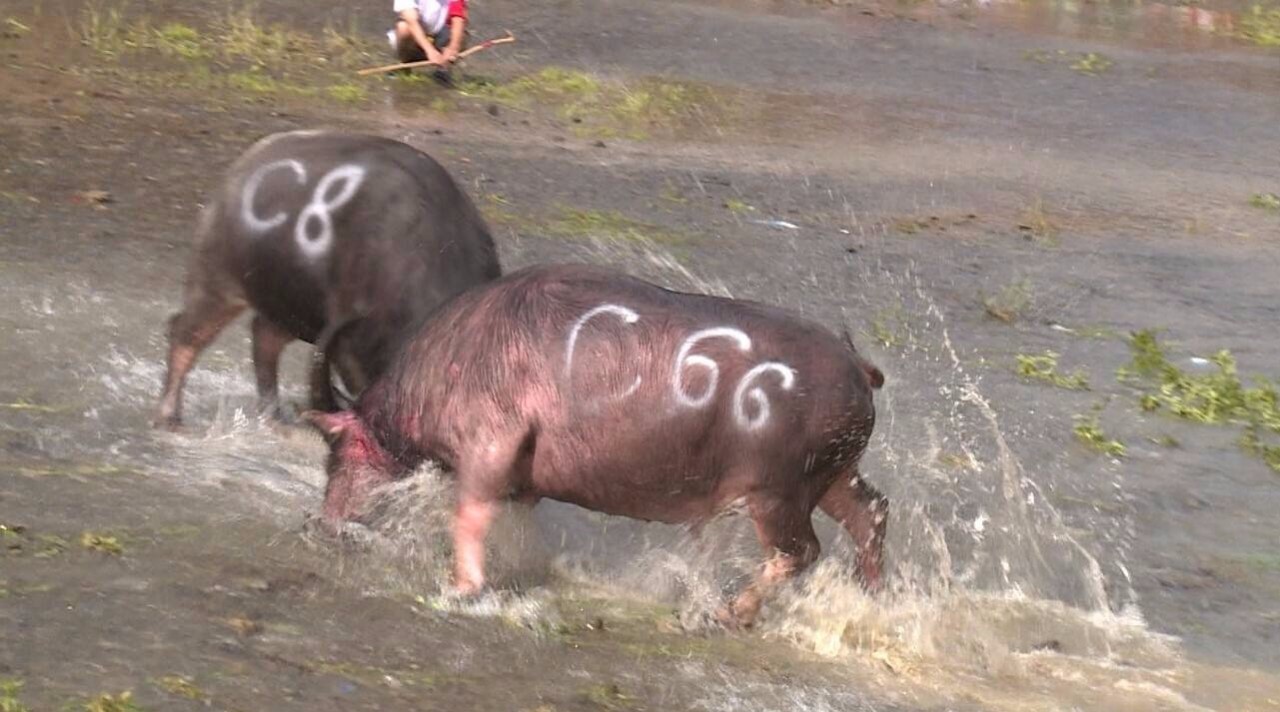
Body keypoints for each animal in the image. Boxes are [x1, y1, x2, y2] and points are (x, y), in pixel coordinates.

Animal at [154, 128, 499, 427]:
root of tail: (245, 163)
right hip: (216, 280)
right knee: (185, 333)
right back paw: (168, 415)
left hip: (294, 306)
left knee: (263, 335)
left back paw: (273, 414)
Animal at [304, 263, 885, 624]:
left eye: (341, 450)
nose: (324, 525)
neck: (456, 357)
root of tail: (857, 366)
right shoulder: (524, 480)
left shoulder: (490, 445)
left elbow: (469, 512)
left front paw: (463, 586)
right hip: (831, 477)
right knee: (871, 512)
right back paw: (872, 595)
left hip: (777, 493)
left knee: (799, 552)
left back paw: (730, 611)